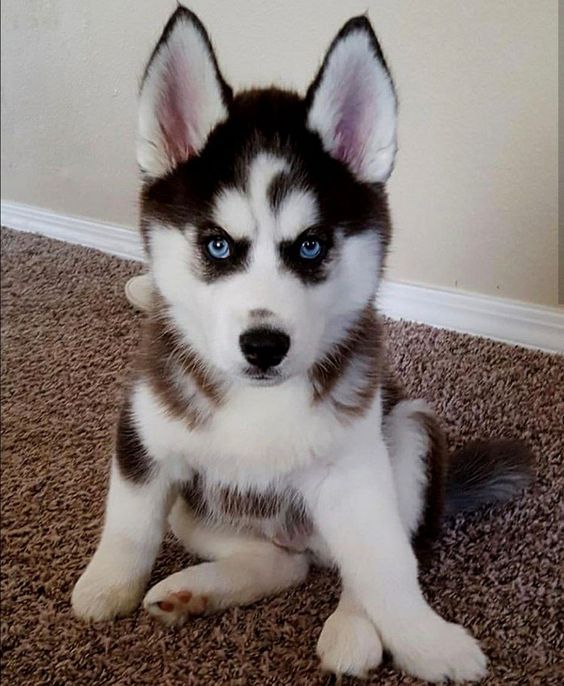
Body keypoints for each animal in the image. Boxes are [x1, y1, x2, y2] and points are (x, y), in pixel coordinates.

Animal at [71, 8, 532, 684]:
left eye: (311, 246)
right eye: (216, 245)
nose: (264, 345)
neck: (257, 401)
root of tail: (305, 542)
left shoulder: (355, 472)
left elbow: (387, 569)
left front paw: (428, 643)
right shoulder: (146, 433)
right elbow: (130, 523)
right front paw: (107, 588)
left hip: (408, 431)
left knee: (372, 561)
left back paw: (352, 633)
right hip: (200, 509)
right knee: (282, 564)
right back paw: (195, 588)